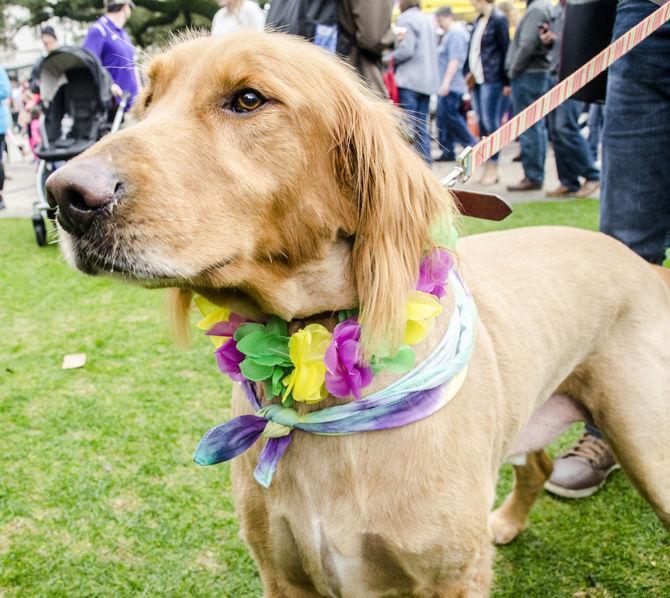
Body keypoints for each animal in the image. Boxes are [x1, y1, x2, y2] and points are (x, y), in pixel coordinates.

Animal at [47, 31, 670, 596]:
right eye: (148, 100)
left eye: (248, 99)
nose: (64, 196)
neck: (314, 360)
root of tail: (642, 262)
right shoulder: (283, 575)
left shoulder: (451, 577)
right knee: (537, 466)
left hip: (649, 448)